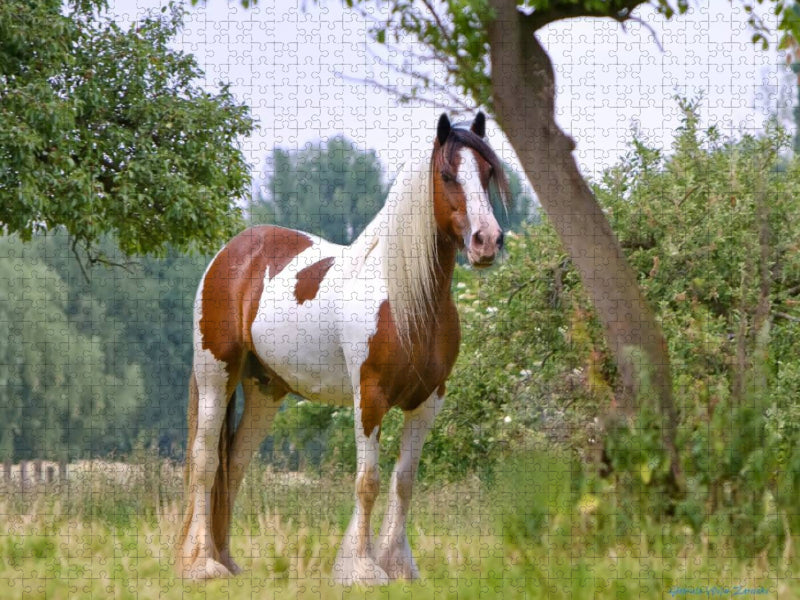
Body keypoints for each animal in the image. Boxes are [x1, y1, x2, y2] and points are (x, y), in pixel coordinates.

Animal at [176, 112, 509, 584]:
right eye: (447, 175)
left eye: (486, 173)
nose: (487, 241)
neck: (407, 299)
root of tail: (232, 252)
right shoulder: (369, 397)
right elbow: (368, 480)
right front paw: (362, 568)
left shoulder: (428, 402)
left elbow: (404, 482)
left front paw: (397, 564)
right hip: (215, 375)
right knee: (206, 461)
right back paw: (202, 564)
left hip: (265, 389)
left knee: (234, 465)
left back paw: (228, 560)